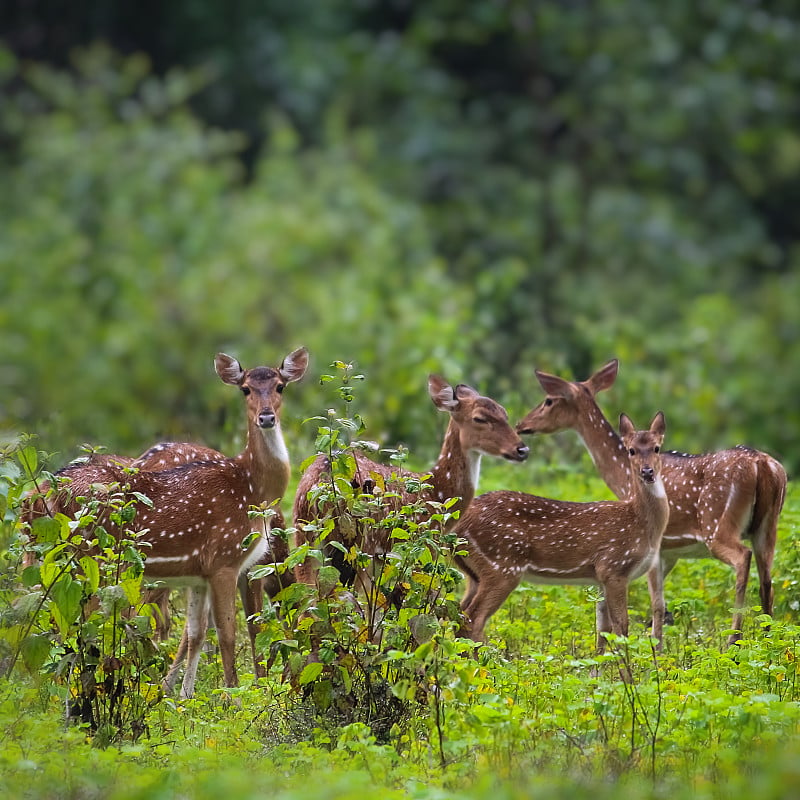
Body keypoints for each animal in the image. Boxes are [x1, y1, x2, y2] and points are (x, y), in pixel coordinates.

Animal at [21, 346, 310, 696]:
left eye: (281, 386)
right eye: (245, 389)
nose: (266, 417)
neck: (251, 487)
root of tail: (38, 495)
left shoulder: (200, 573)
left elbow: (198, 632)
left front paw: (182, 697)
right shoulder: (225, 560)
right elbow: (230, 634)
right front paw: (235, 697)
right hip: (88, 557)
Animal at [294, 372, 532, 592]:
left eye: (505, 413)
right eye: (480, 418)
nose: (522, 449)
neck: (438, 493)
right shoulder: (422, 546)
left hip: (303, 536)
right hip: (361, 543)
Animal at [456, 412, 668, 648]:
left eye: (657, 447)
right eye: (631, 450)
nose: (647, 471)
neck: (641, 524)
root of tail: (460, 523)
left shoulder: (601, 577)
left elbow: (603, 630)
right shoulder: (614, 566)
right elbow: (621, 628)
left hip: (475, 573)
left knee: (459, 614)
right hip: (501, 565)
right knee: (474, 618)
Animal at [516, 360, 784, 648]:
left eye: (548, 400)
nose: (521, 424)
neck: (622, 476)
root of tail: (762, 464)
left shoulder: (655, 544)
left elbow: (655, 603)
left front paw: (655, 647)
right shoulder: (668, 552)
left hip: (717, 524)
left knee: (743, 559)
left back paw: (734, 639)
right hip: (768, 527)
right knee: (768, 582)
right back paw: (769, 639)